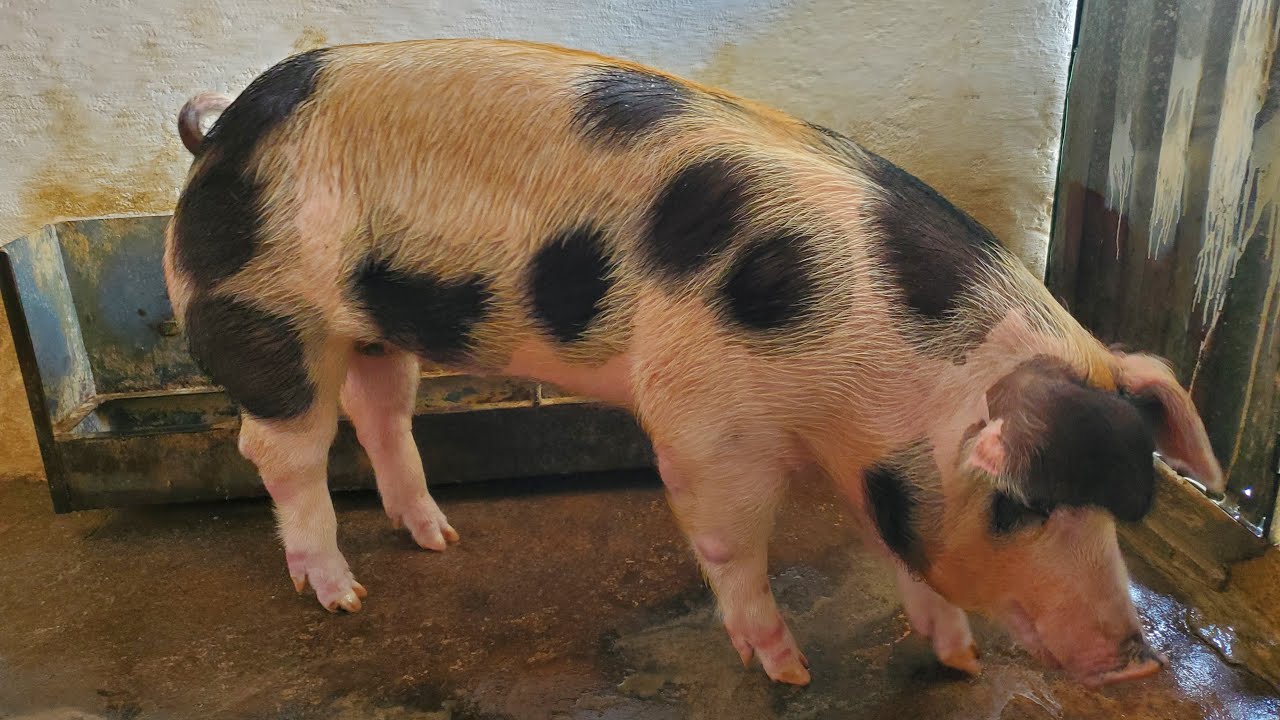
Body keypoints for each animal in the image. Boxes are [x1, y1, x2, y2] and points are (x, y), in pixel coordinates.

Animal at [163, 38, 1224, 689]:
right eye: (1023, 507)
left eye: (1132, 507)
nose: (1139, 657)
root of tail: (224, 128)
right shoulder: (708, 423)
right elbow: (730, 544)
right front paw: (788, 669)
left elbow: (905, 548)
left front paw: (957, 664)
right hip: (265, 311)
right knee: (284, 452)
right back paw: (341, 594)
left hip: (380, 325)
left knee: (381, 414)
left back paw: (437, 539)